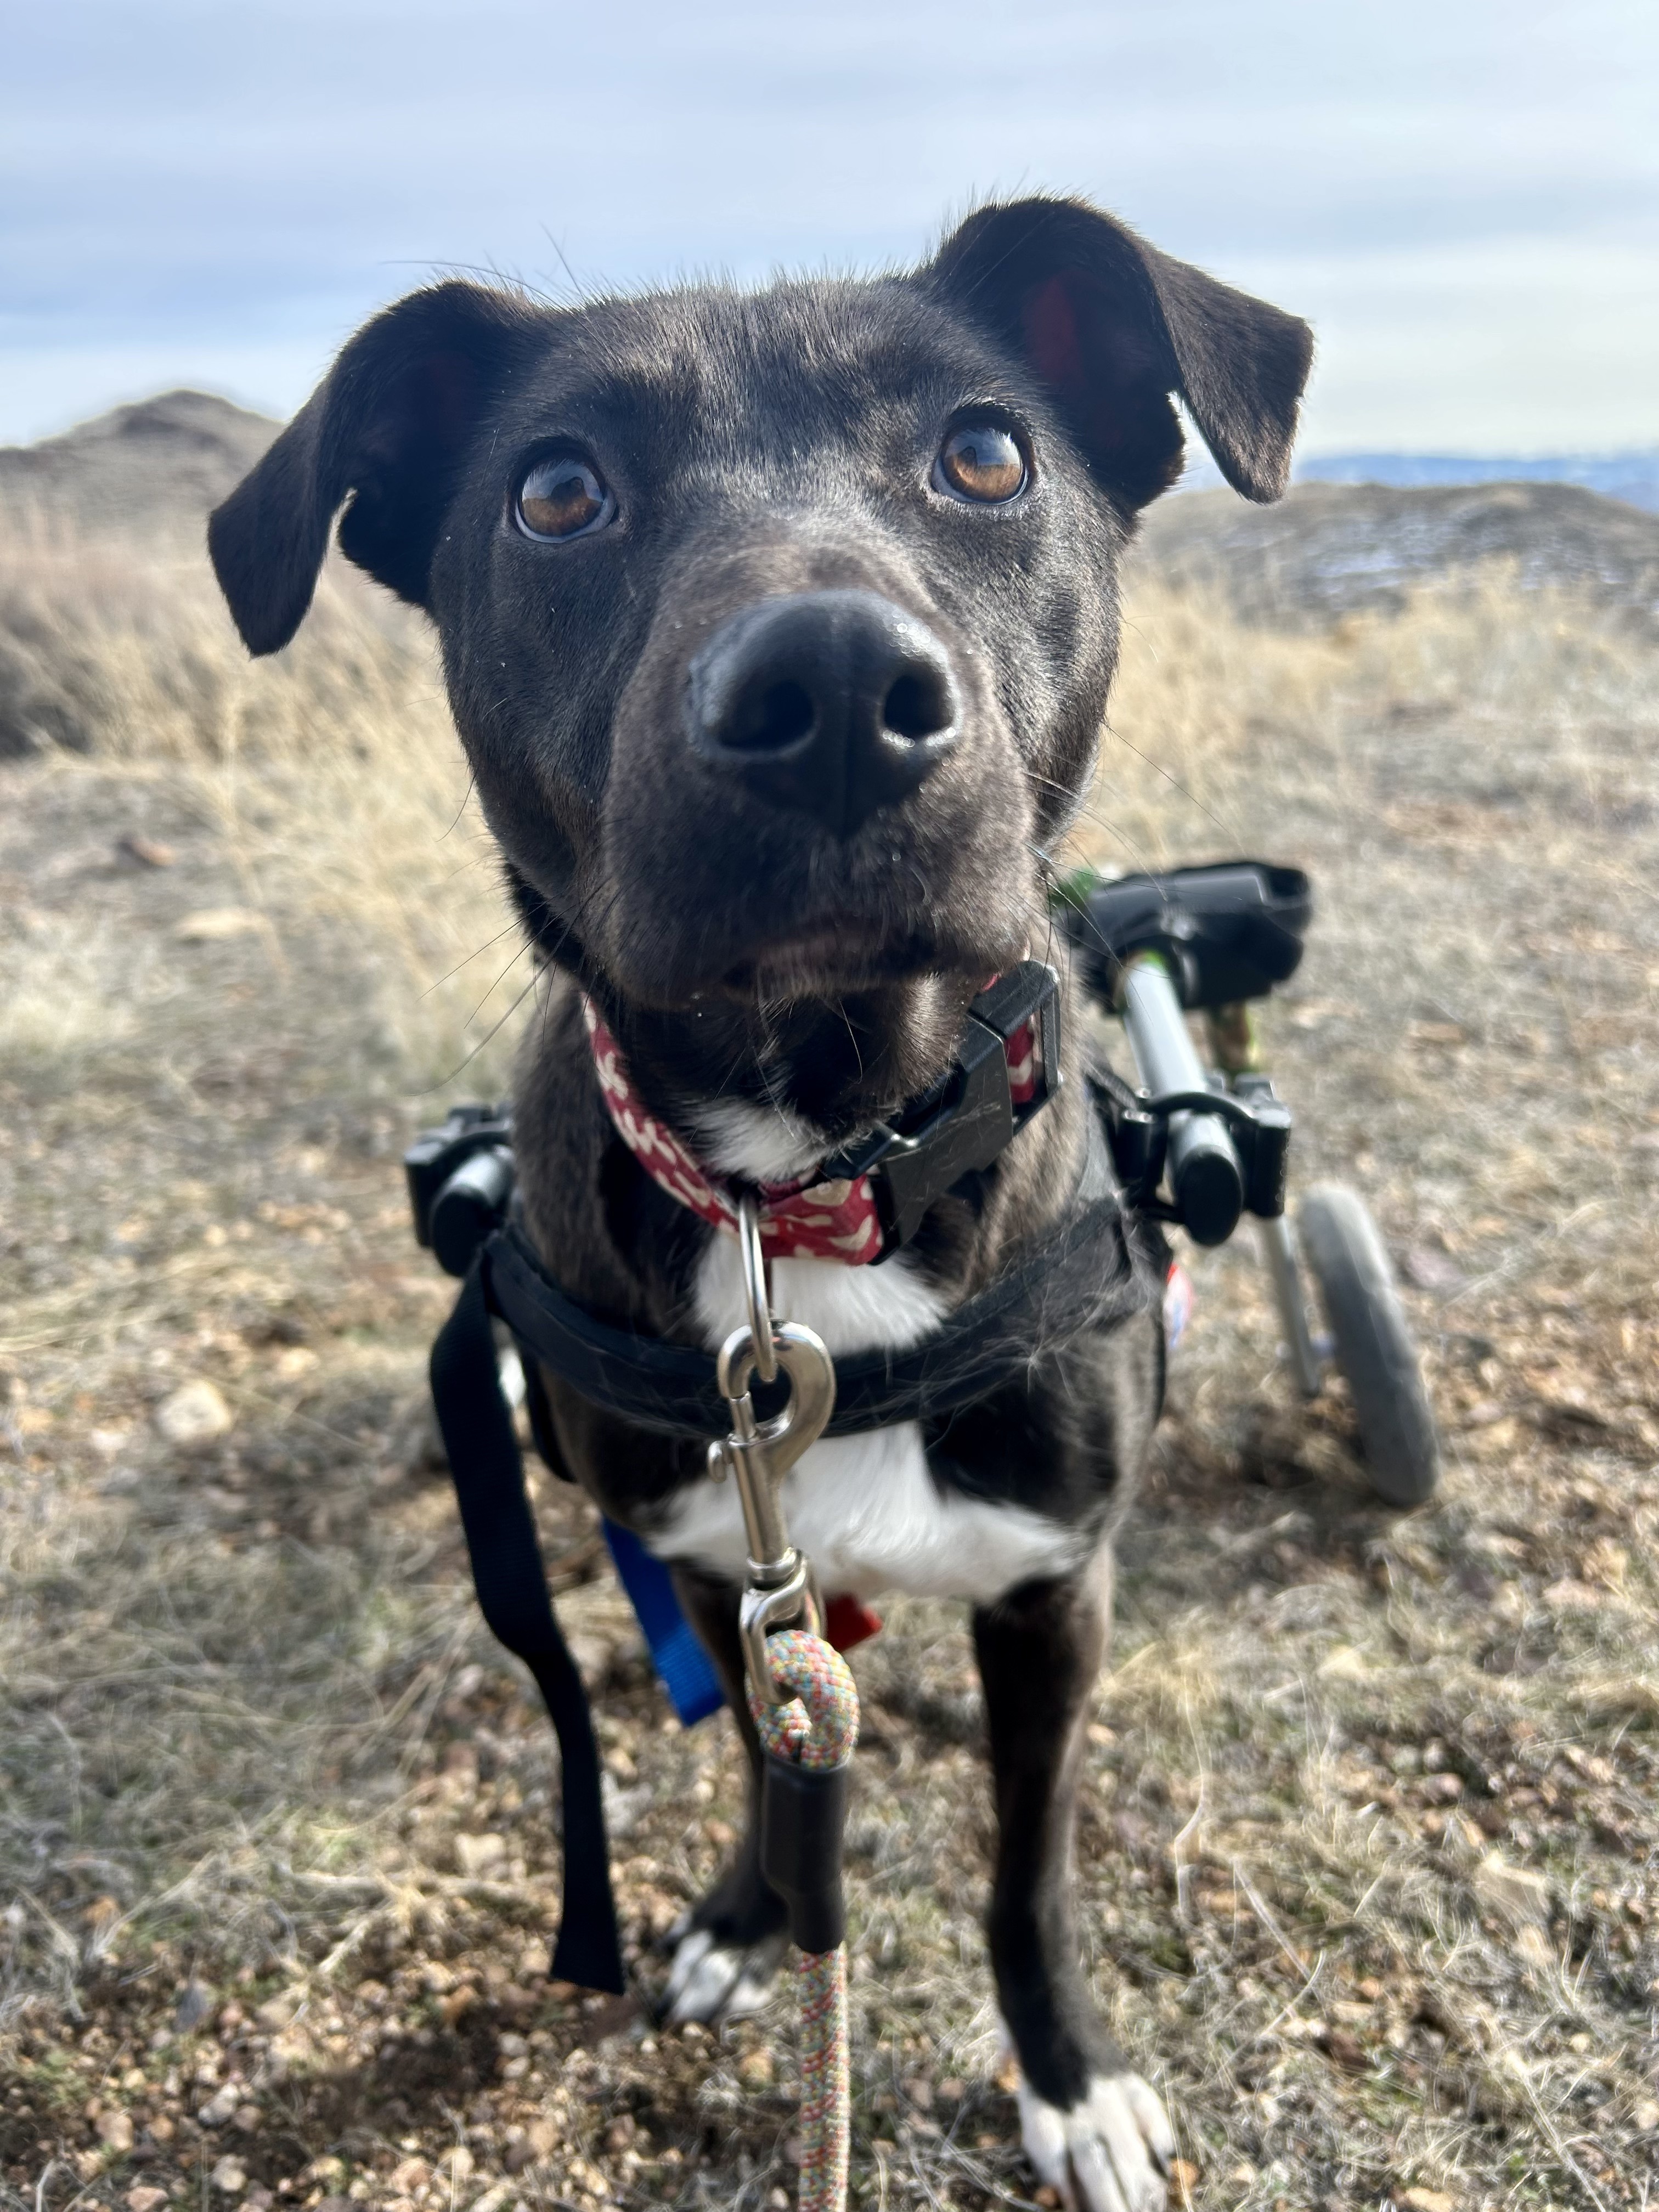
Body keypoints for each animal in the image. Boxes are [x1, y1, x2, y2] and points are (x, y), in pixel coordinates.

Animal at [208, 203, 1309, 2212]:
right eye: (557, 492)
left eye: (985, 453)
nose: (833, 702)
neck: (807, 1185)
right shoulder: (727, 1565)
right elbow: (759, 1769)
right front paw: (742, 1915)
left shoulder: (1055, 1592)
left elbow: (1027, 1868)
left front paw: (1068, 2075)